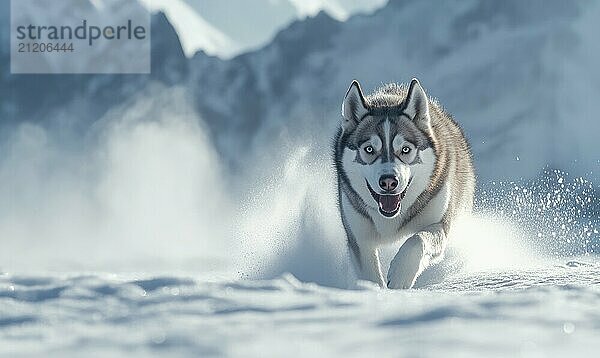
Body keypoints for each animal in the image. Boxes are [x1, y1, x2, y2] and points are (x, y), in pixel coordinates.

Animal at [332, 77, 474, 288]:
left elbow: (417, 240)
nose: (388, 181)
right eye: (369, 149)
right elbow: (370, 274)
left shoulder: (438, 223)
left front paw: (400, 276)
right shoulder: (359, 239)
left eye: (405, 149)